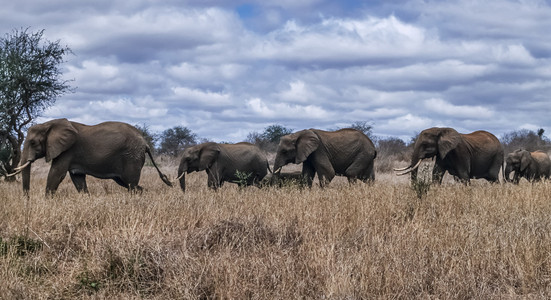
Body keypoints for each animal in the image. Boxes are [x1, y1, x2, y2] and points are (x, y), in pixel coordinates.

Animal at [8, 118, 171, 196]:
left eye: (33, 142)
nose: (27, 199)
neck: (49, 124)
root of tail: (145, 142)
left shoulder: (67, 150)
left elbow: (56, 174)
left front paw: (47, 201)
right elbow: (78, 179)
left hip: (131, 156)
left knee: (131, 183)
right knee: (129, 184)